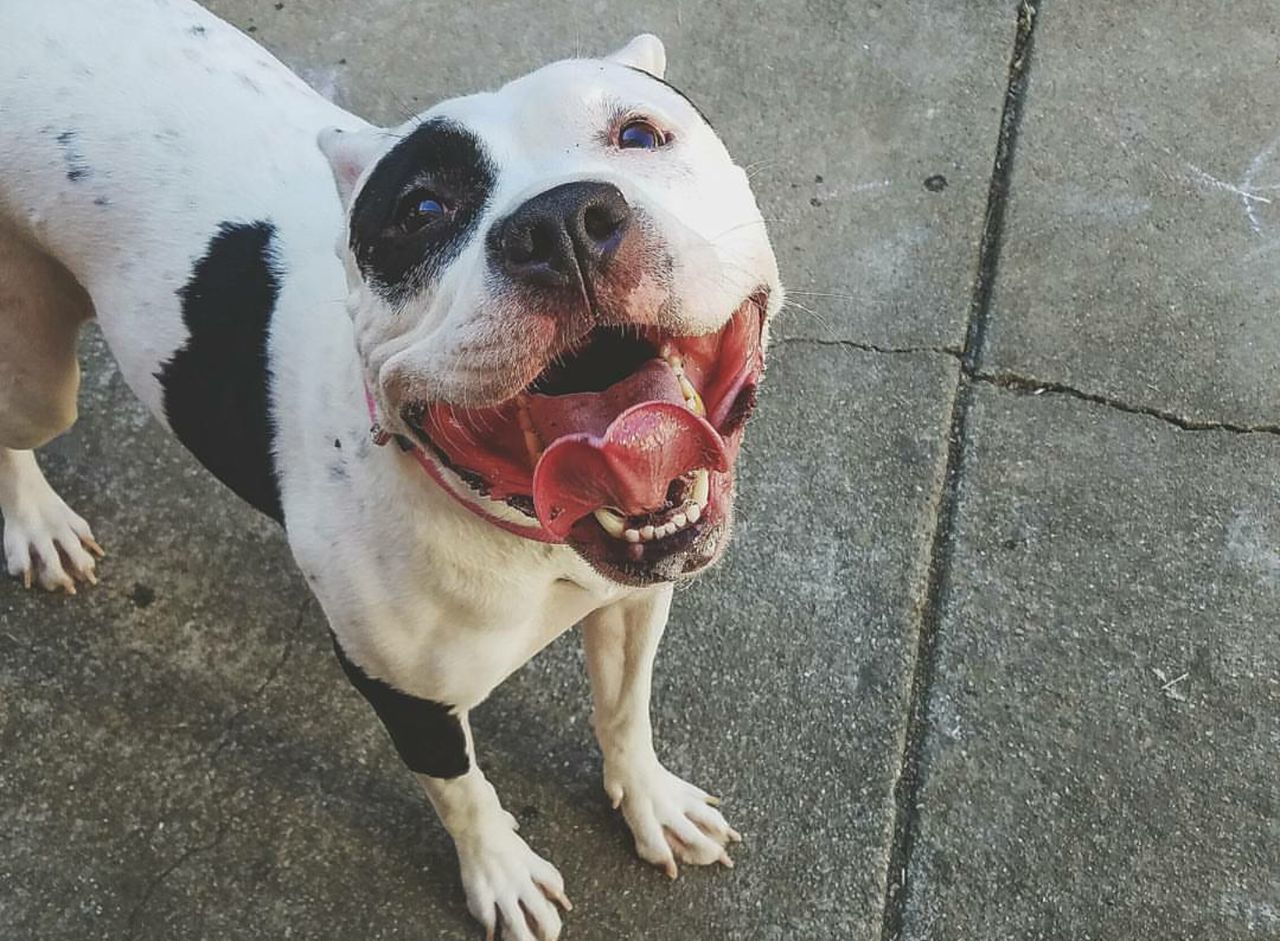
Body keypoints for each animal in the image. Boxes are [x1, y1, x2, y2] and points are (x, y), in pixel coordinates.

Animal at [0, 3, 778, 937]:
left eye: (639, 133)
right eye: (422, 210)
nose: (559, 222)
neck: (525, 529)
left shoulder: (633, 596)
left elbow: (624, 707)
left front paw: (649, 798)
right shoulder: (408, 696)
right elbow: (461, 792)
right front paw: (500, 871)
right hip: (34, 372)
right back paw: (37, 523)